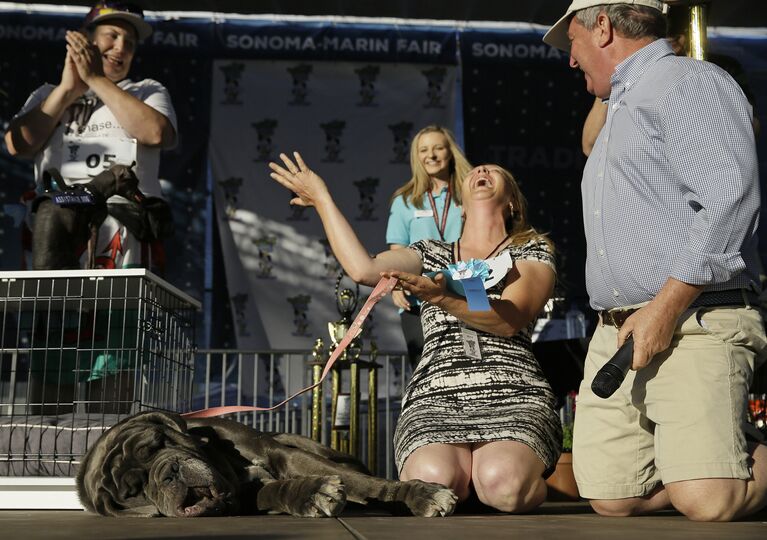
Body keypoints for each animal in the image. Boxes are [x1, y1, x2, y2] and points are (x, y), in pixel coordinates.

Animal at [77, 412, 456, 516]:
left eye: (159, 443)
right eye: (134, 491)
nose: (170, 473)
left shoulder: (282, 454)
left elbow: (368, 484)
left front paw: (420, 494)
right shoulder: (244, 496)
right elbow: (274, 491)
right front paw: (312, 494)